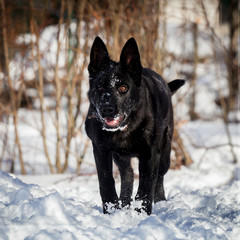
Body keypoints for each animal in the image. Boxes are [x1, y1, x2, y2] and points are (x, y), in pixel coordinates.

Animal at [85, 36, 185, 215]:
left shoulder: (150, 154)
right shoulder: (101, 150)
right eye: (100, 87)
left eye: (123, 87)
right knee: (128, 174)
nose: (107, 109)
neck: (125, 128)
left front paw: (142, 214)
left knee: (159, 177)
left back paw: (160, 202)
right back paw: (124, 204)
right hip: (120, 156)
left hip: (165, 153)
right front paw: (111, 211)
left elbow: (146, 187)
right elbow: (106, 181)